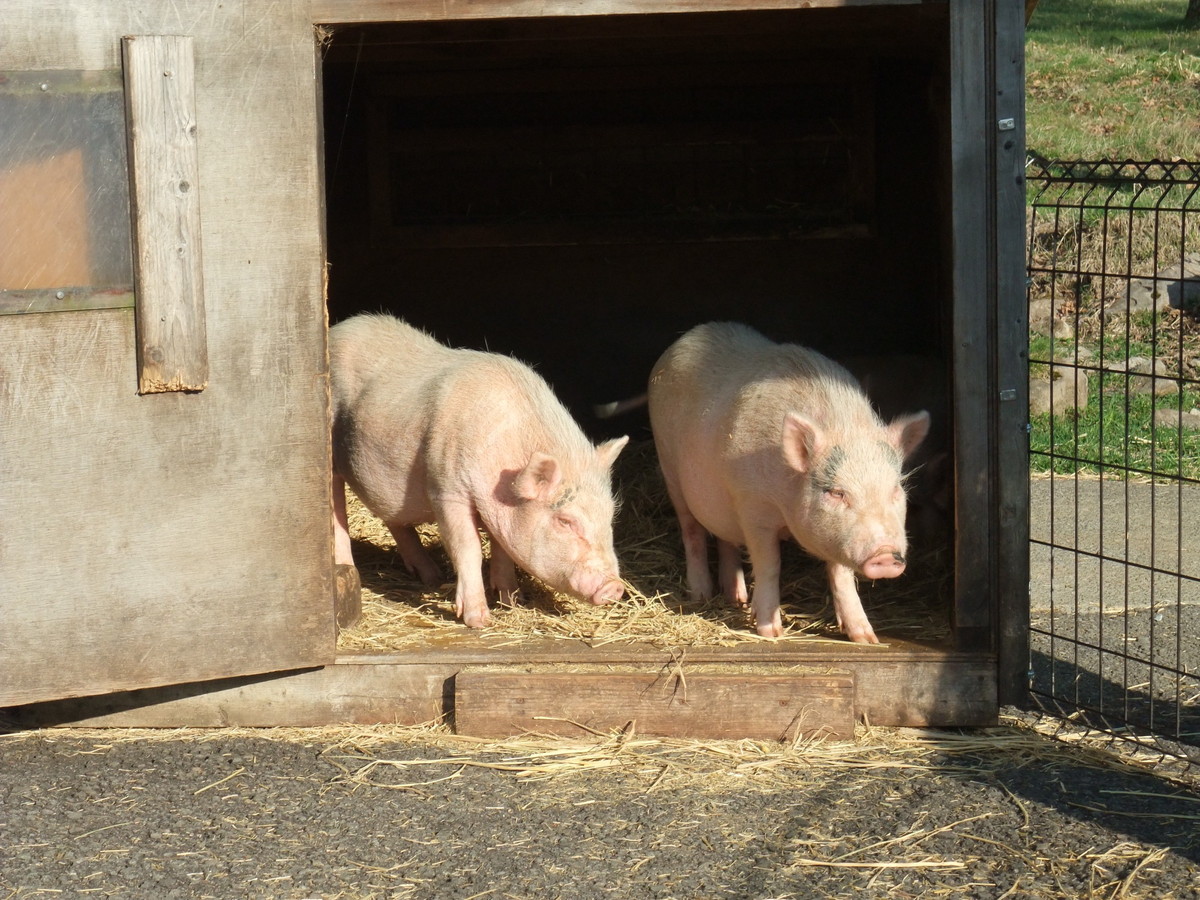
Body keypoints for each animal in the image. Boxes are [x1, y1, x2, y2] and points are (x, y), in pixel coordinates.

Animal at [328, 314, 628, 628]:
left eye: (610, 518)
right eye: (566, 521)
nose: (615, 587)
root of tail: (337, 329)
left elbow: (503, 549)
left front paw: (514, 601)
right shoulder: (446, 487)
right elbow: (468, 546)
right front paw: (479, 620)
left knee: (395, 521)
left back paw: (432, 578)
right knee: (336, 510)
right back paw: (348, 571)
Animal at [648, 321, 926, 643]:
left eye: (895, 490)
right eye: (835, 492)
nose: (886, 555)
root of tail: (692, 334)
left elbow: (841, 576)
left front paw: (866, 638)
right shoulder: (753, 507)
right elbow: (769, 565)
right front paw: (770, 633)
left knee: (725, 537)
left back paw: (736, 598)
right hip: (669, 464)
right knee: (692, 531)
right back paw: (701, 596)